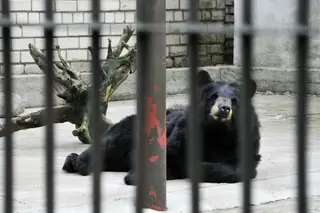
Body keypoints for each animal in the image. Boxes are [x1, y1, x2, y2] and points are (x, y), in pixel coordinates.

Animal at [61, 69, 262, 185]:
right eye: (214, 96)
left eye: (234, 101)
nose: (224, 109)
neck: (216, 132)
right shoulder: (180, 136)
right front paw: (136, 176)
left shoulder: (243, 141)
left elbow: (239, 168)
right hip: (128, 129)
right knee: (108, 144)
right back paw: (76, 162)